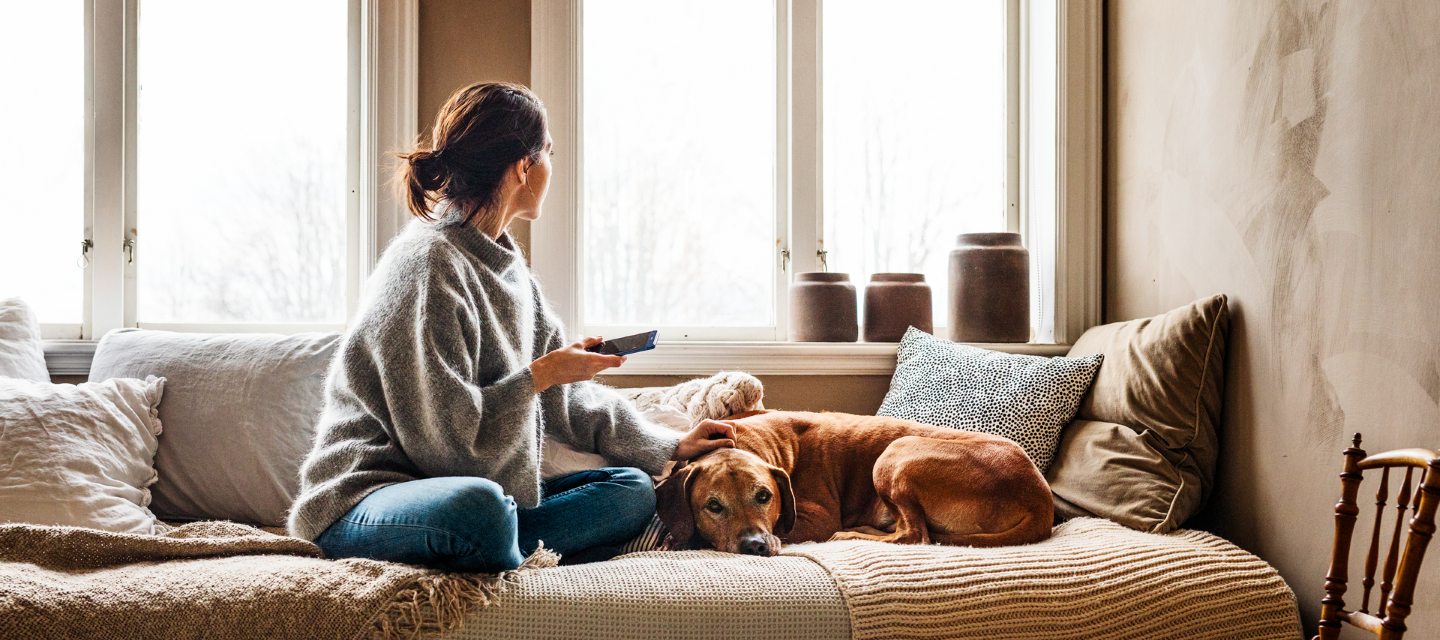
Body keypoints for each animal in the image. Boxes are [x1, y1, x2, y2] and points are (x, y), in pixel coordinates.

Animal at [659, 409, 1054, 556]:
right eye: (713, 506)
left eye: (764, 496)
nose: (755, 545)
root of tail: (1041, 500)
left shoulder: (814, 519)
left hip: (896, 453)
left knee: (915, 535)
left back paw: (853, 533)